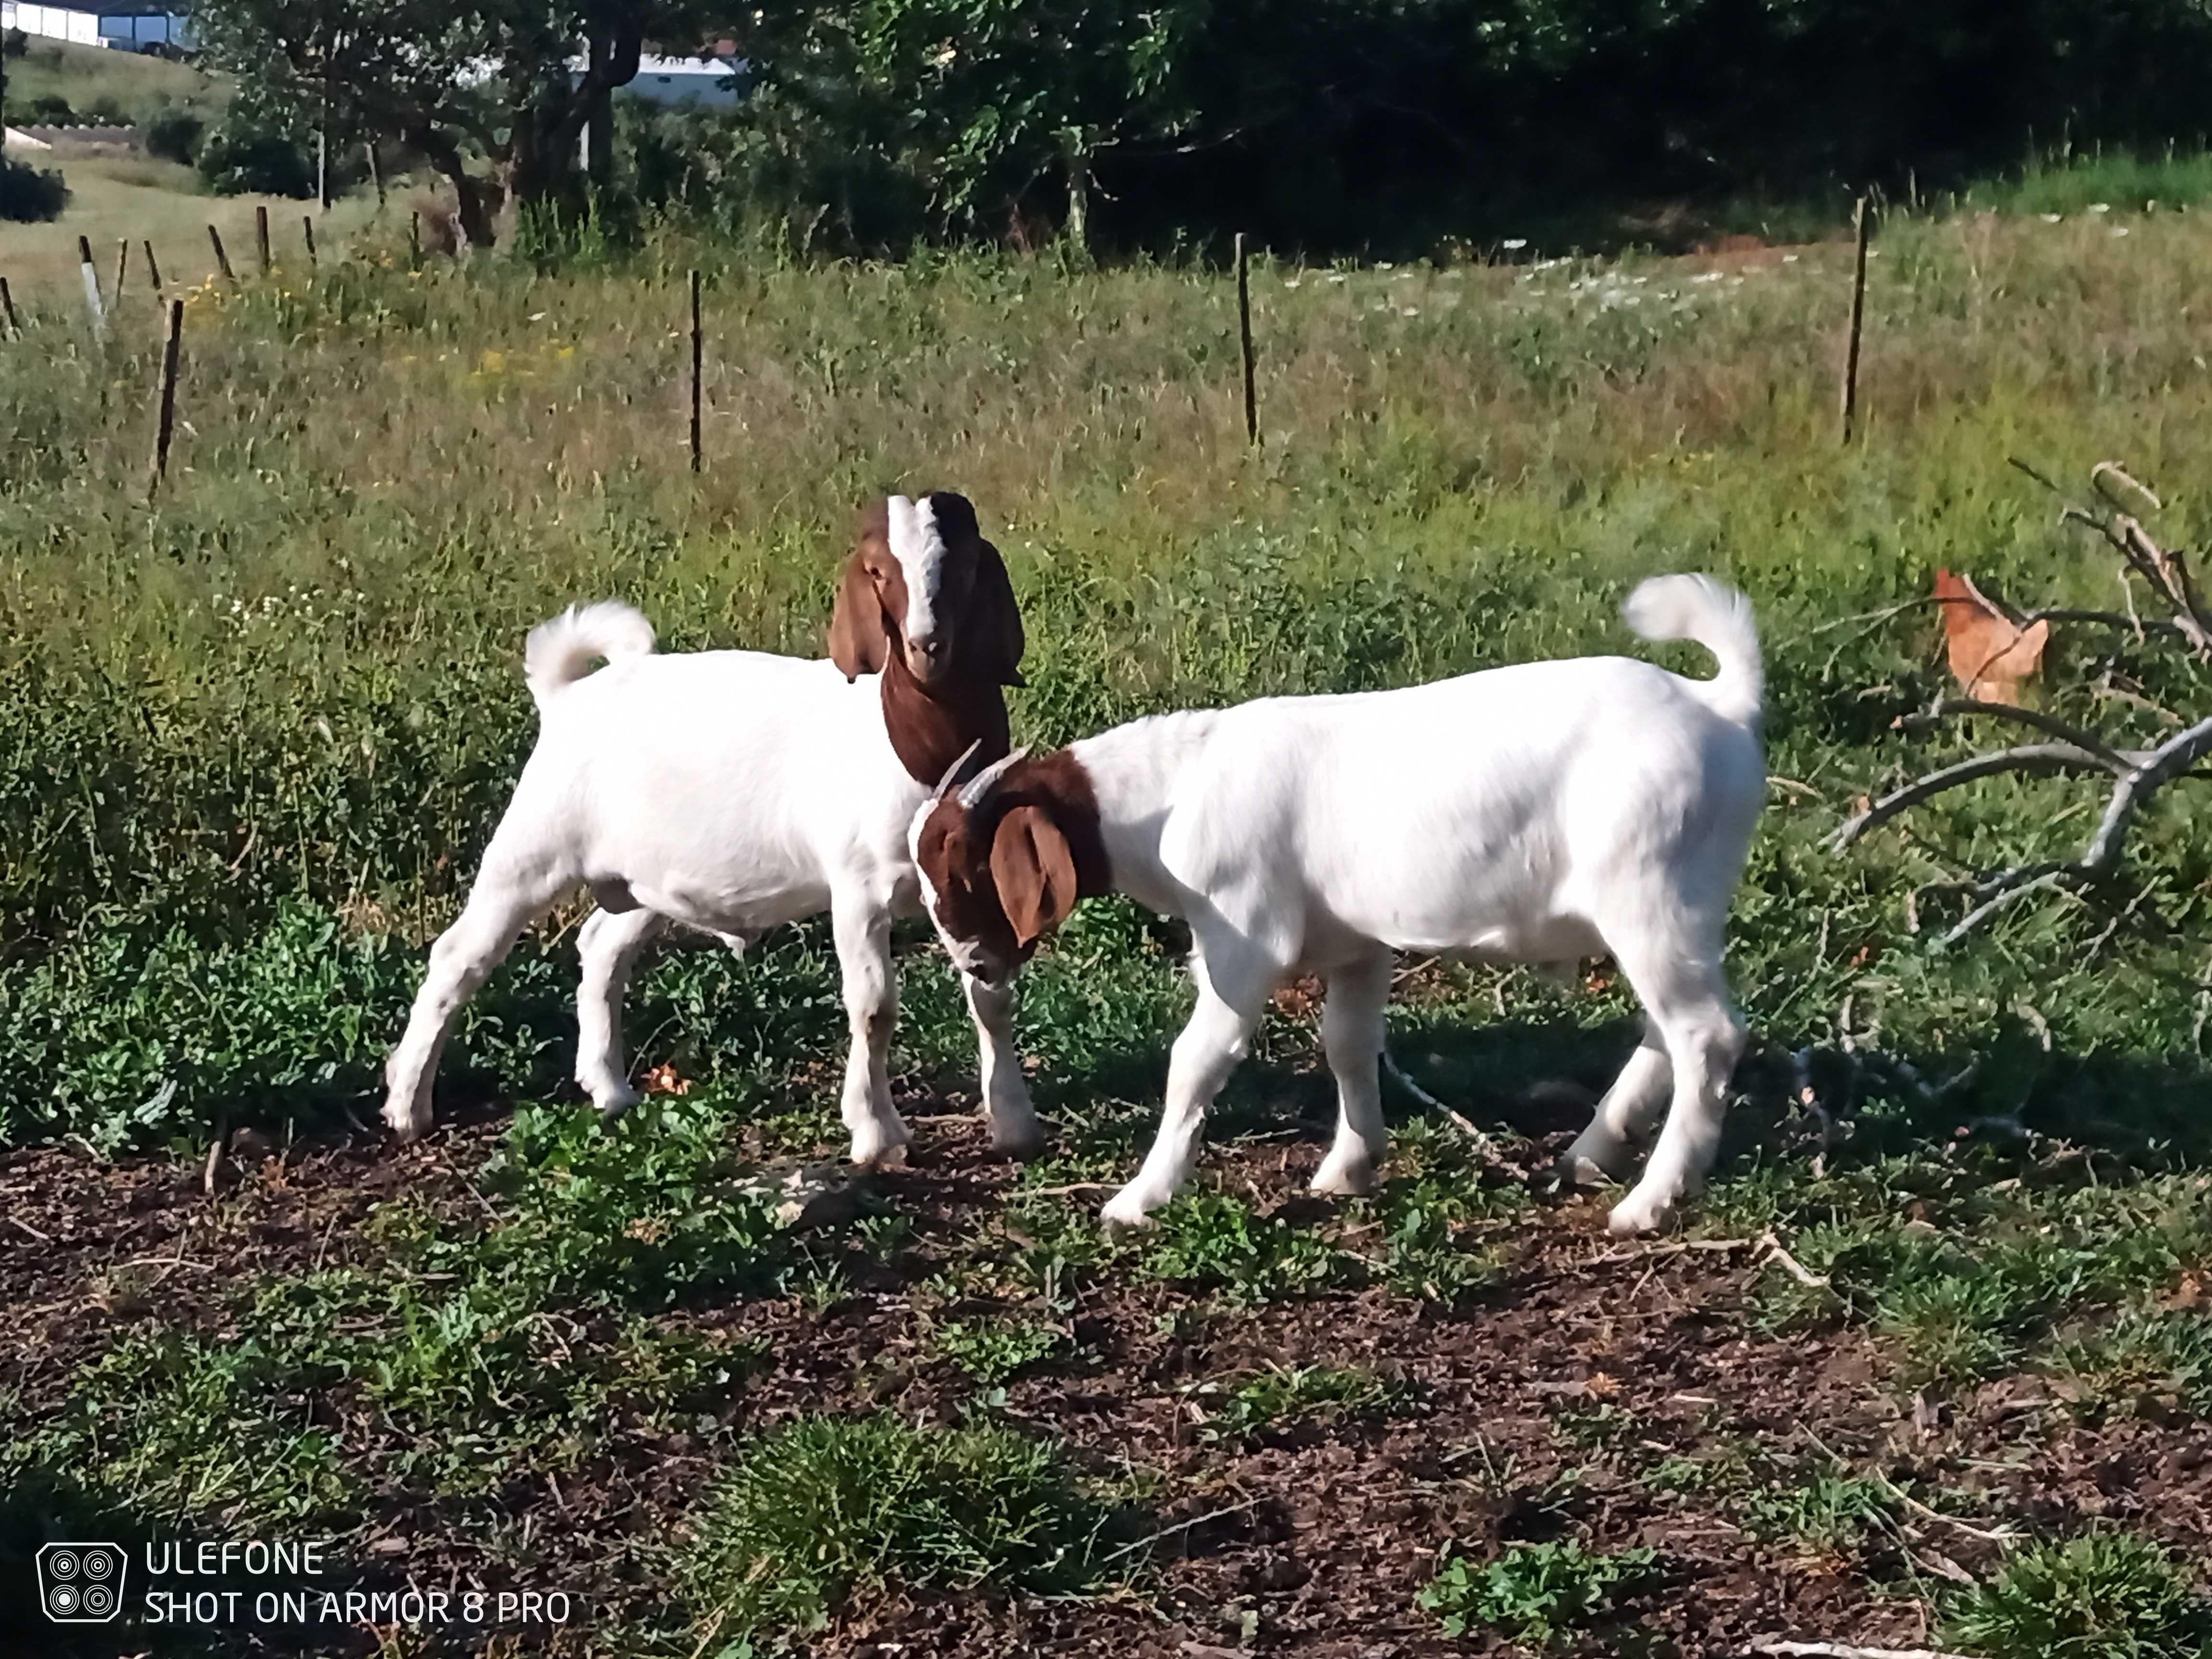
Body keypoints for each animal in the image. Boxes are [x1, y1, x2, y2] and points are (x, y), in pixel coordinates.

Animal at [387, 493, 1044, 1168]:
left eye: (965, 566)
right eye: (880, 572)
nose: (926, 646)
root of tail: (565, 695)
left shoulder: (968, 883)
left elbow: (992, 994)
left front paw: (1015, 1122)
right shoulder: (858, 889)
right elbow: (873, 1007)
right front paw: (876, 1132)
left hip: (642, 877)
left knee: (602, 947)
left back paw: (609, 1089)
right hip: (533, 847)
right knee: (459, 956)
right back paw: (409, 1106)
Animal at [911, 570, 1760, 1238]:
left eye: (963, 870)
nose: (973, 965)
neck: (1176, 792)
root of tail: (1723, 706)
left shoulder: (1243, 940)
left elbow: (1196, 1061)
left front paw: (1138, 1197)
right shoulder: (1357, 944)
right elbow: (1347, 1044)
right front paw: (1349, 1168)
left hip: (1648, 893)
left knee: (1705, 1034)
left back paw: (1651, 1200)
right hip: (1672, 908)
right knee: (1667, 1031)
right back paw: (1591, 1153)